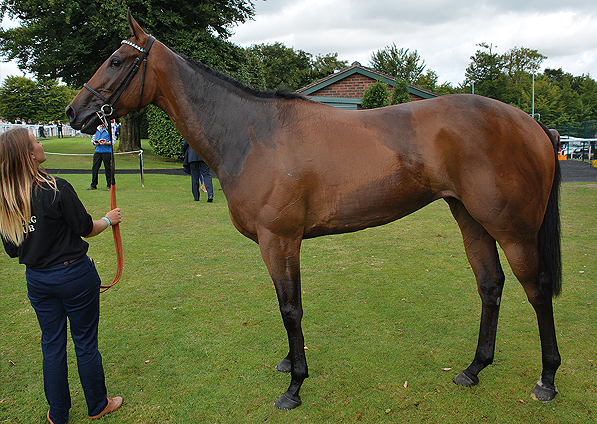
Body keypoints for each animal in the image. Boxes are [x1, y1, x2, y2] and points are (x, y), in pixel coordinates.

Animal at [67, 10, 560, 408]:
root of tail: (534, 125)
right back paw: (474, 369)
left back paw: (547, 379)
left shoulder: (279, 240)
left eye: (117, 61)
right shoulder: (280, 245)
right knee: (490, 286)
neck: (252, 134)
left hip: (512, 230)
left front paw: (294, 387)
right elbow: (287, 305)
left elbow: (290, 308)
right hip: (471, 219)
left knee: (536, 291)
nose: (74, 112)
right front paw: (290, 364)